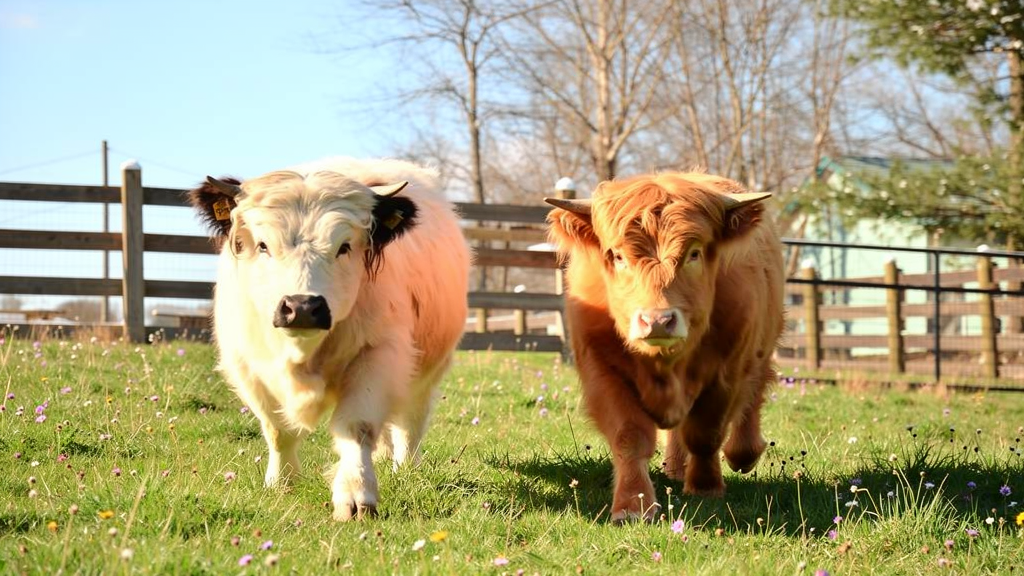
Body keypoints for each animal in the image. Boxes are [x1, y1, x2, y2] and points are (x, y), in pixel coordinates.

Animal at [188, 157, 470, 521]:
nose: (302, 307)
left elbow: (357, 427)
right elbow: (278, 429)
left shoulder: (378, 356)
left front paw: (356, 493)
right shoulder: (248, 366)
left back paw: (405, 468)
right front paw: (281, 481)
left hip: (425, 371)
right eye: (263, 245)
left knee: (410, 422)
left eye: (344, 246)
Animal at [545, 171, 784, 523]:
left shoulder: (727, 372)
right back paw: (674, 468)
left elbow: (706, 434)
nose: (657, 321)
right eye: (618, 256)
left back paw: (743, 452)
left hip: (760, 349)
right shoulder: (601, 369)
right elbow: (629, 435)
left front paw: (705, 486)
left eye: (694, 253)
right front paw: (634, 504)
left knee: (752, 398)